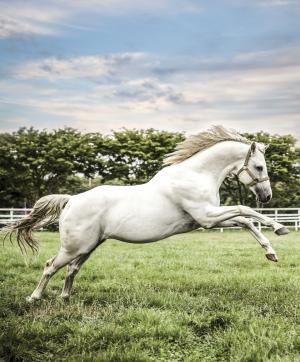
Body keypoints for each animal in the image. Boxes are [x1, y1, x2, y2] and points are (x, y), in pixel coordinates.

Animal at [7, 126, 288, 302]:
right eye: (259, 166)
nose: (267, 196)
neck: (195, 175)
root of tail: (71, 200)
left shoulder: (205, 219)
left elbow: (244, 221)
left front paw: (271, 252)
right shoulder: (206, 216)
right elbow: (245, 210)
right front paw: (279, 228)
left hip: (88, 247)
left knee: (71, 270)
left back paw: (65, 298)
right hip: (73, 247)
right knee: (50, 266)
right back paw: (34, 298)